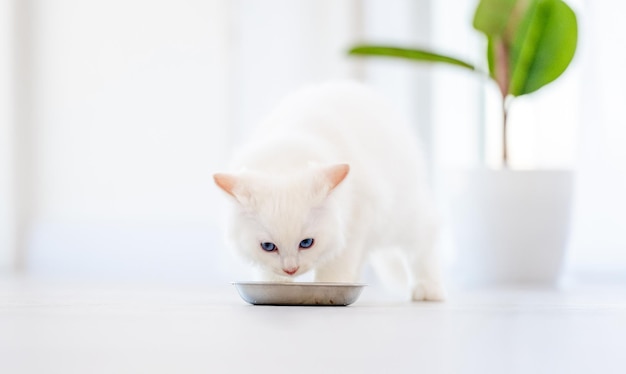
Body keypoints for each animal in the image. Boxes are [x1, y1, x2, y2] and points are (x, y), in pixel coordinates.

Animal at [213, 82, 444, 300]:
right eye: (268, 246)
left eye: (306, 243)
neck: (286, 155)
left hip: (401, 219)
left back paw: (428, 288)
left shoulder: (354, 225)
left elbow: (336, 268)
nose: (291, 269)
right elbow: (268, 274)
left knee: (424, 243)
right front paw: (279, 285)